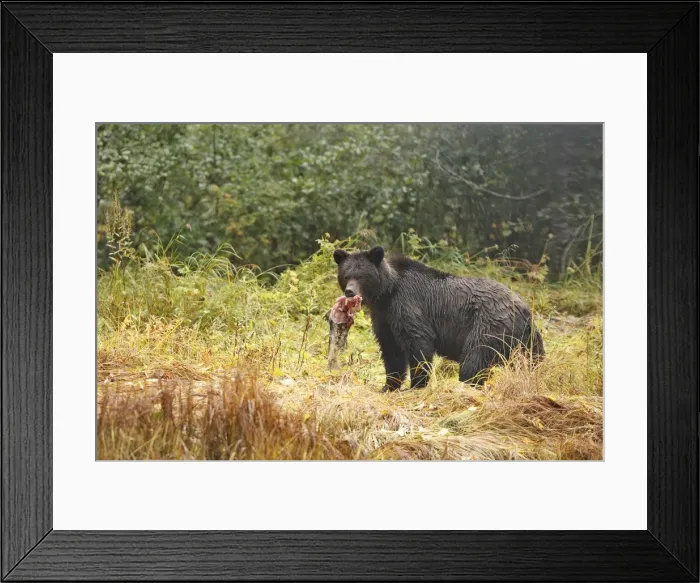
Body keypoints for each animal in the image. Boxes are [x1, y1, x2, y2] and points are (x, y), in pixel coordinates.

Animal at [333, 246, 544, 391]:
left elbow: (418, 343)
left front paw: (416, 385)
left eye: (362, 275)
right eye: (346, 275)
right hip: (524, 341)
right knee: (531, 361)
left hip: (489, 325)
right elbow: (391, 351)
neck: (386, 293)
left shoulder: (407, 305)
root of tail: (526, 310)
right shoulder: (384, 318)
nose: (350, 291)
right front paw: (388, 386)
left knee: (474, 359)